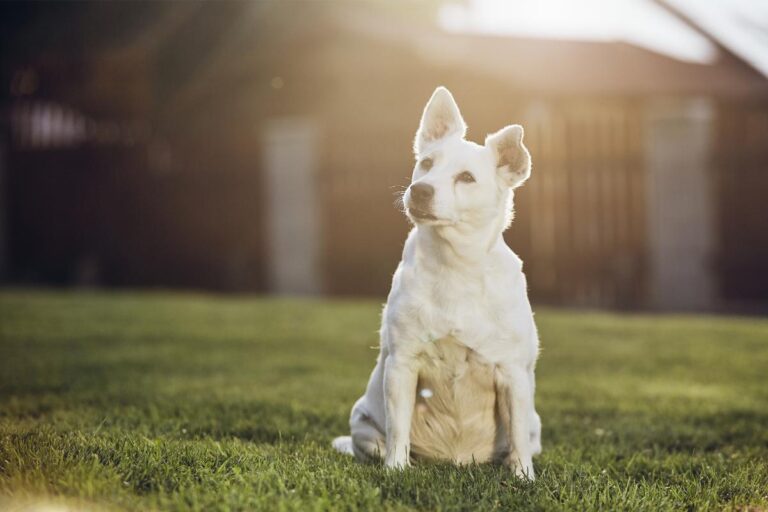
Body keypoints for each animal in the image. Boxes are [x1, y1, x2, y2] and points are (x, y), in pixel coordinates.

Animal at [332, 88, 544, 480]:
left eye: (467, 177)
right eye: (427, 164)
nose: (419, 190)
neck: (455, 265)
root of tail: (457, 460)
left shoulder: (513, 375)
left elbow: (519, 438)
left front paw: (524, 478)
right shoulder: (402, 365)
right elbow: (399, 429)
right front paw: (396, 470)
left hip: (535, 423)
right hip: (363, 423)